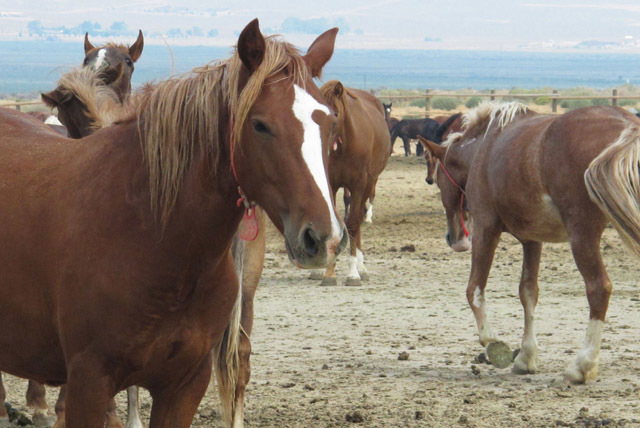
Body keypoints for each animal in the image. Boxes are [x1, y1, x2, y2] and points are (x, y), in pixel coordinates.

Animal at [308, 81, 388, 288]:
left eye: (335, 113)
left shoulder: (359, 184)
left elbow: (352, 223)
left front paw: (353, 273)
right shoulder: (331, 184)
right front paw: (328, 273)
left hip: (369, 183)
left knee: (358, 218)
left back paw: (361, 267)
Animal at [420, 102, 640, 382]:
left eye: (438, 180)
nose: (453, 238)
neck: (484, 147)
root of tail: (629, 126)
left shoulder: (486, 229)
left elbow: (474, 290)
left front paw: (493, 343)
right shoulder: (532, 240)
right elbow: (528, 293)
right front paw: (526, 357)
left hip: (582, 234)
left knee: (598, 288)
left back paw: (582, 365)